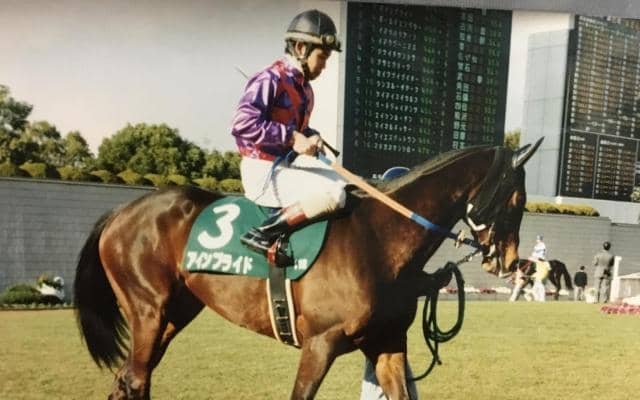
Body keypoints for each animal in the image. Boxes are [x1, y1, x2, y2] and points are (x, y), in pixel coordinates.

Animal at [74, 141, 541, 399]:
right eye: (517, 198)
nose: (509, 261)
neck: (378, 236)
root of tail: (121, 210)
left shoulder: (387, 344)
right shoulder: (320, 343)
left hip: (174, 313)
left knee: (129, 378)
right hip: (148, 310)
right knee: (136, 380)